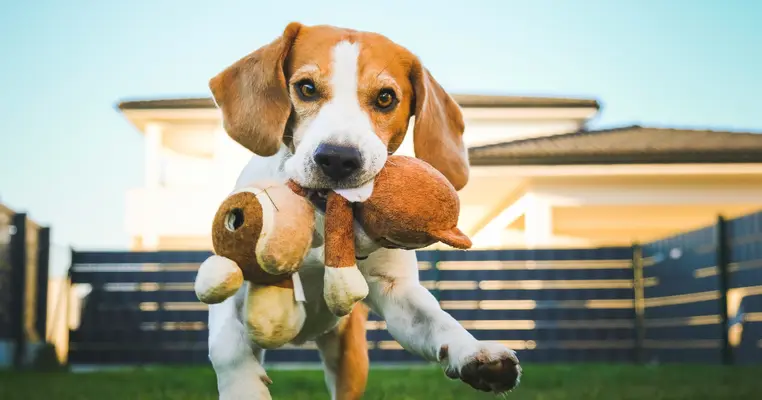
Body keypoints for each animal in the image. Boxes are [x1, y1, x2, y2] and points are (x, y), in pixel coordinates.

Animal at [205, 22, 520, 400]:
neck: (323, 221)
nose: (338, 158)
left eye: (385, 98)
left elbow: (437, 320)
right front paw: (244, 386)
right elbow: (227, 347)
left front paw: (473, 352)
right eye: (306, 88)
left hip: (350, 358)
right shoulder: (232, 281)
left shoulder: (396, 292)